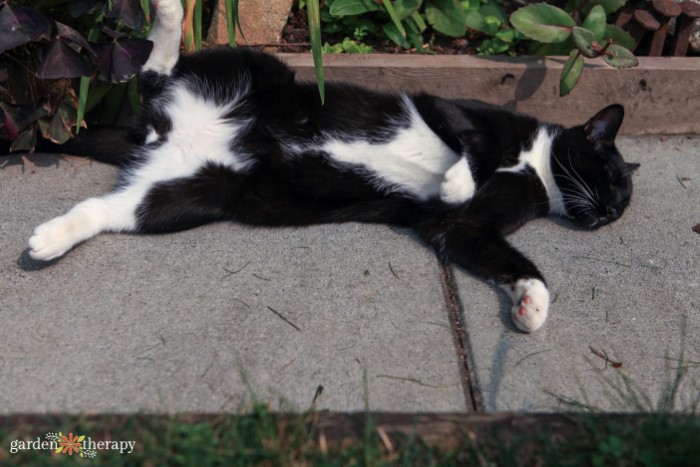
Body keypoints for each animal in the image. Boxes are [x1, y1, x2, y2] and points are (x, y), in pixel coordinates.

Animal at [23, 0, 640, 336]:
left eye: (622, 205)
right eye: (611, 177)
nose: (610, 211)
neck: (534, 167)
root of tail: (161, 131)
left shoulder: (461, 228)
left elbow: (504, 254)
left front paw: (531, 304)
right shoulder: (455, 110)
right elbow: (472, 143)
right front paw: (456, 179)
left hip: (189, 193)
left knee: (108, 208)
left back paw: (49, 240)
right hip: (255, 65)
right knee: (154, 73)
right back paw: (171, 15)